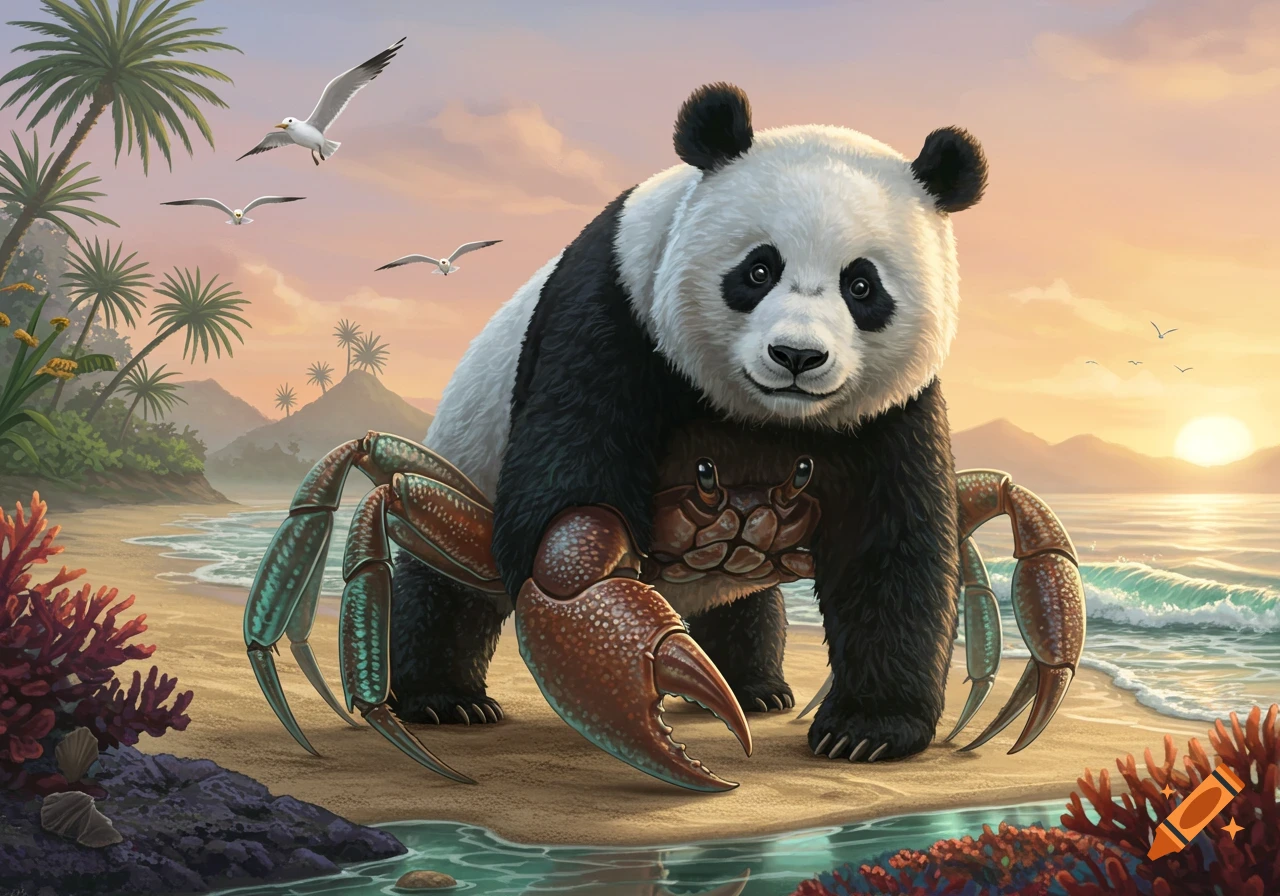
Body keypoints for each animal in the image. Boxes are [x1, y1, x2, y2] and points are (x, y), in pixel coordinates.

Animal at [388, 82, 989, 764]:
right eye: (759, 270)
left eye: (862, 286)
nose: (797, 356)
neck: (762, 415)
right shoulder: (610, 314)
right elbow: (568, 521)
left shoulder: (892, 407)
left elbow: (890, 547)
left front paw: (866, 731)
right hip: (464, 455)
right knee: (443, 583)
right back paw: (445, 699)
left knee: (744, 603)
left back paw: (753, 687)